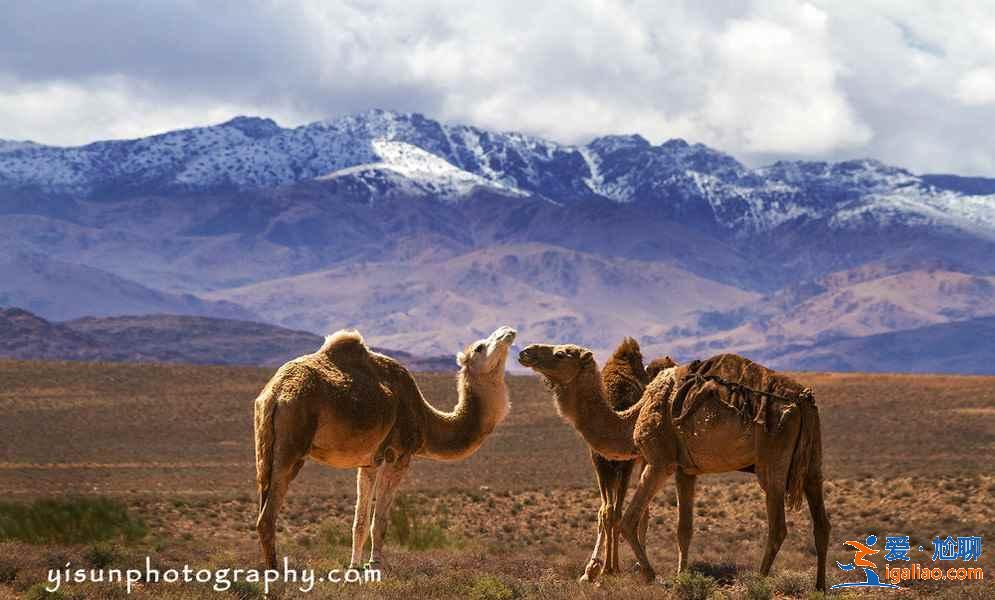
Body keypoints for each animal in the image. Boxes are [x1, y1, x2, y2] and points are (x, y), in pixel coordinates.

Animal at [256, 326, 516, 568]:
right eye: (480, 347)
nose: (508, 332)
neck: (424, 419)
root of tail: (275, 394)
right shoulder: (398, 455)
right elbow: (379, 521)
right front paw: (375, 566)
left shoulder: (370, 461)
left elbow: (359, 522)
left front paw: (354, 566)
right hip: (292, 444)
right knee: (267, 517)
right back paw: (276, 574)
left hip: (264, 449)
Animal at [520, 342, 832, 592]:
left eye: (561, 354)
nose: (525, 352)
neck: (632, 418)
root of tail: (804, 400)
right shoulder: (686, 470)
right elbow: (684, 529)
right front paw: (682, 576)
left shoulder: (660, 461)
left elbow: (629, 520)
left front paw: (650, 574)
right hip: (811, 463)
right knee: (822, 523)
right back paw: (820, 586)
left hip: (773, 459)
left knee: (777, 526)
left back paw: (759, 581)